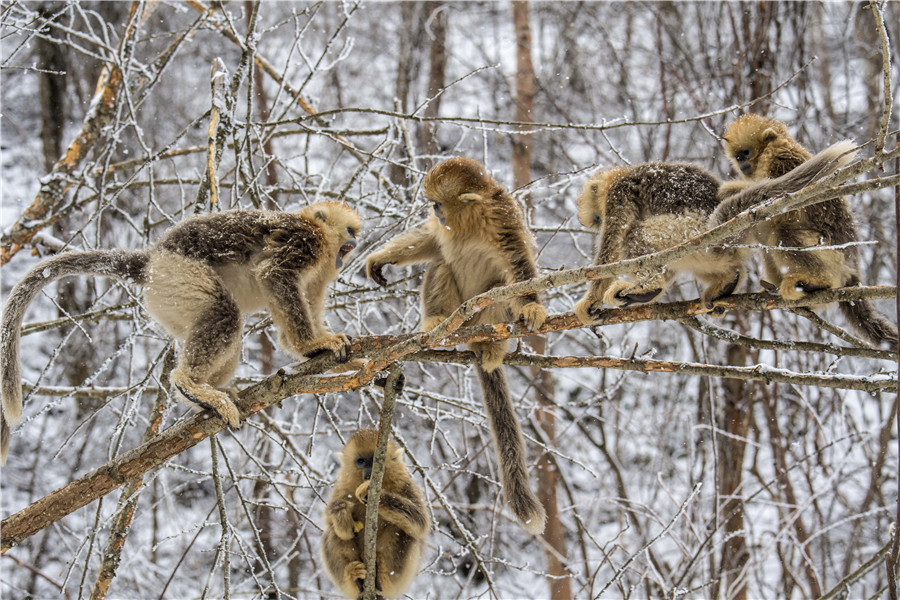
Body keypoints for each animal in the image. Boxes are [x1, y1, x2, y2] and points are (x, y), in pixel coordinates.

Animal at [0, 201, 362, 463]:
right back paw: (191, 385)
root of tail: (150, 260)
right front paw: (312, 343)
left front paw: (322, 351)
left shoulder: (320, 273)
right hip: (177, 277)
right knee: (224, 313)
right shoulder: (304, 242)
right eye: (348, 230)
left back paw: (207, 395)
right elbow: (275, 274)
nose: (354, 242)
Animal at [320, 428, 429, 599]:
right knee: (331, 533)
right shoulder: (342, 488)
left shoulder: (405, 484)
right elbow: (330, 521)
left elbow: (420, 521)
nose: (369, 472)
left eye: (375, 461)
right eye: (361, 461)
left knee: (403, 530)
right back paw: (355, 579)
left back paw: (381, 574)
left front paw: (368, 491)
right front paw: (341, 516)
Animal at [365, 157, 548, 535]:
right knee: (440, 264)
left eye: (438, 202)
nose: (435, 211)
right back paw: (437, 325)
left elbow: (518, 269)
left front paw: (533, 307)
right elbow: (430, 242)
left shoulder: (502, 217)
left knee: (497, 288)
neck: (469, 224)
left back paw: (491, 346)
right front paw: (381, 257)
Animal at [714, 113, 896, 347]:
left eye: (745, 152)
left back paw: (815, 282)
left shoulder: (780, 161)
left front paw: (732, 189)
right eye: (737, 157)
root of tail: (853, 270)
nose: (742, 164)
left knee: (781, 231)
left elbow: (788, 204)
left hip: (831, 256)